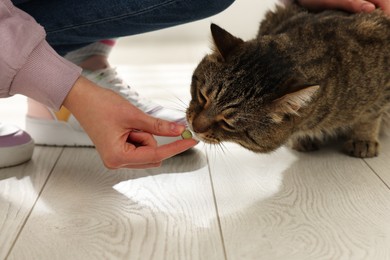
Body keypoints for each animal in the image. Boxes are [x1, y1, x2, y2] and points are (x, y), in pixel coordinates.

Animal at [186, 2, 390, 158]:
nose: (194, 127)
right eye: (202, 96)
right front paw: (300, 139)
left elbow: (370, 115)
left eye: (228, 123)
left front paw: (363, 138)